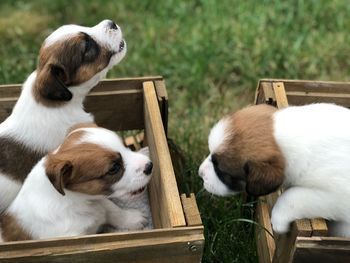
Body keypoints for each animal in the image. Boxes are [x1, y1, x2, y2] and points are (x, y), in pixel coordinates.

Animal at [0, 125, 153, 242]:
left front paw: (132, 219)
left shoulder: (99, 201)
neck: (77, 201)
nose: (150, 165)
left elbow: (112, 209)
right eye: (114, 168)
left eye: (126, 147)